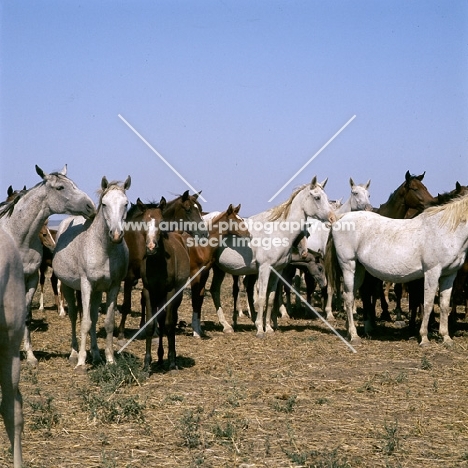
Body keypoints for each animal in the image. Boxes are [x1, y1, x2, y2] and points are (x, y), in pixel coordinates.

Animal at [0, 165, 96, 366]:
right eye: (60, 187)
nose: (91, 206)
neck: (18, 237)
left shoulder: (31, 278)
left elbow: (26, 317)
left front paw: (30, 356)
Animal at [52, 177, 131, 372]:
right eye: (104, 204)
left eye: (126, 204)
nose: (116, 234)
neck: (104, 249)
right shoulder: (86, 285)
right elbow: (85, 322)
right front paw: (81, 362)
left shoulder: (113, 286)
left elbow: (107, 323)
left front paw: (110, 359)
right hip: (68, 287)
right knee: (74, 316)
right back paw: (74, 354)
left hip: (96, 292)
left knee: (94, 318)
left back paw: (95, 355)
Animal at [210, 177, 334, 338]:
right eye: (317, 197)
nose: (332, 218)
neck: (279, 231)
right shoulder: (264, 268)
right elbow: (262, 297)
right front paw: (259, 329)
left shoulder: (278, 270)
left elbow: (271, 298)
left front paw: (268, 328)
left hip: (219, 269)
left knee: (214, 291)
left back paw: (226, 326)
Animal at [328, 192, 468, 346]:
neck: (445, 231)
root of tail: (341, 218)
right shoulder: (432, 272)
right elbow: (428, 304)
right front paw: (424, 338)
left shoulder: (449, 275)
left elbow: (444, 305)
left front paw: (446, 337)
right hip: (348, 265)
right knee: (348, 298)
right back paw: (354, 336)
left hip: (358, 269)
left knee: (351, 295)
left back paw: (350, 331)